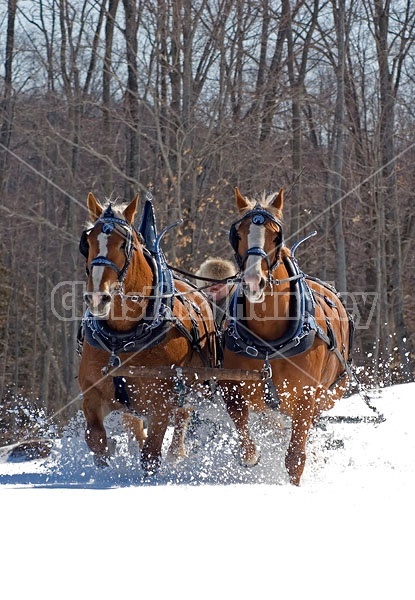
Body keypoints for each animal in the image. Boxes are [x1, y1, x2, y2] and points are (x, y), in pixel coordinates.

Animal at [77, 192, 218, 474]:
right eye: (87, 243)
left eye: (124, 244)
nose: (97, 297)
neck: (122, 338)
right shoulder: (92, 391)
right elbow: (96, 439)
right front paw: (105, 462)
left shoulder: (162, 400)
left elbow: (151, 454)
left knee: (183, 416)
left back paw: (176, 454)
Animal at [224, 190, 354, 486]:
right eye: (238, 234)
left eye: (276, 236)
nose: (253, 281)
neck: (268, 345)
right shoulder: (231, 386)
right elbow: (244, 433)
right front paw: (252, 456)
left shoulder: (305, 397)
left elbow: (295, 457)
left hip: (330, 394)